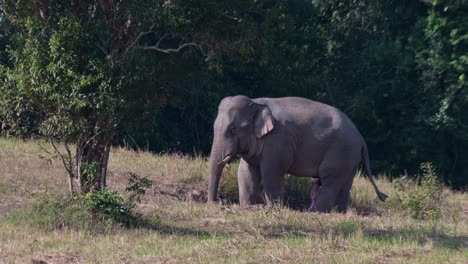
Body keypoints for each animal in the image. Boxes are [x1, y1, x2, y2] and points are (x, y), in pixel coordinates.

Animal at [208, 95, 388, 212]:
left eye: (233, 130)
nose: (217, 202)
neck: (256, 103)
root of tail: (361, 138)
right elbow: (246, 172)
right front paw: (248, 206)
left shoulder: (277, 141)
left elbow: (270, 173)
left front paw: (274, 207)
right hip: (350, 157)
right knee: (345, 184)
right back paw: (340, 212)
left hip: (340, 152)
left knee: (331, 182)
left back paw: (315, 212)